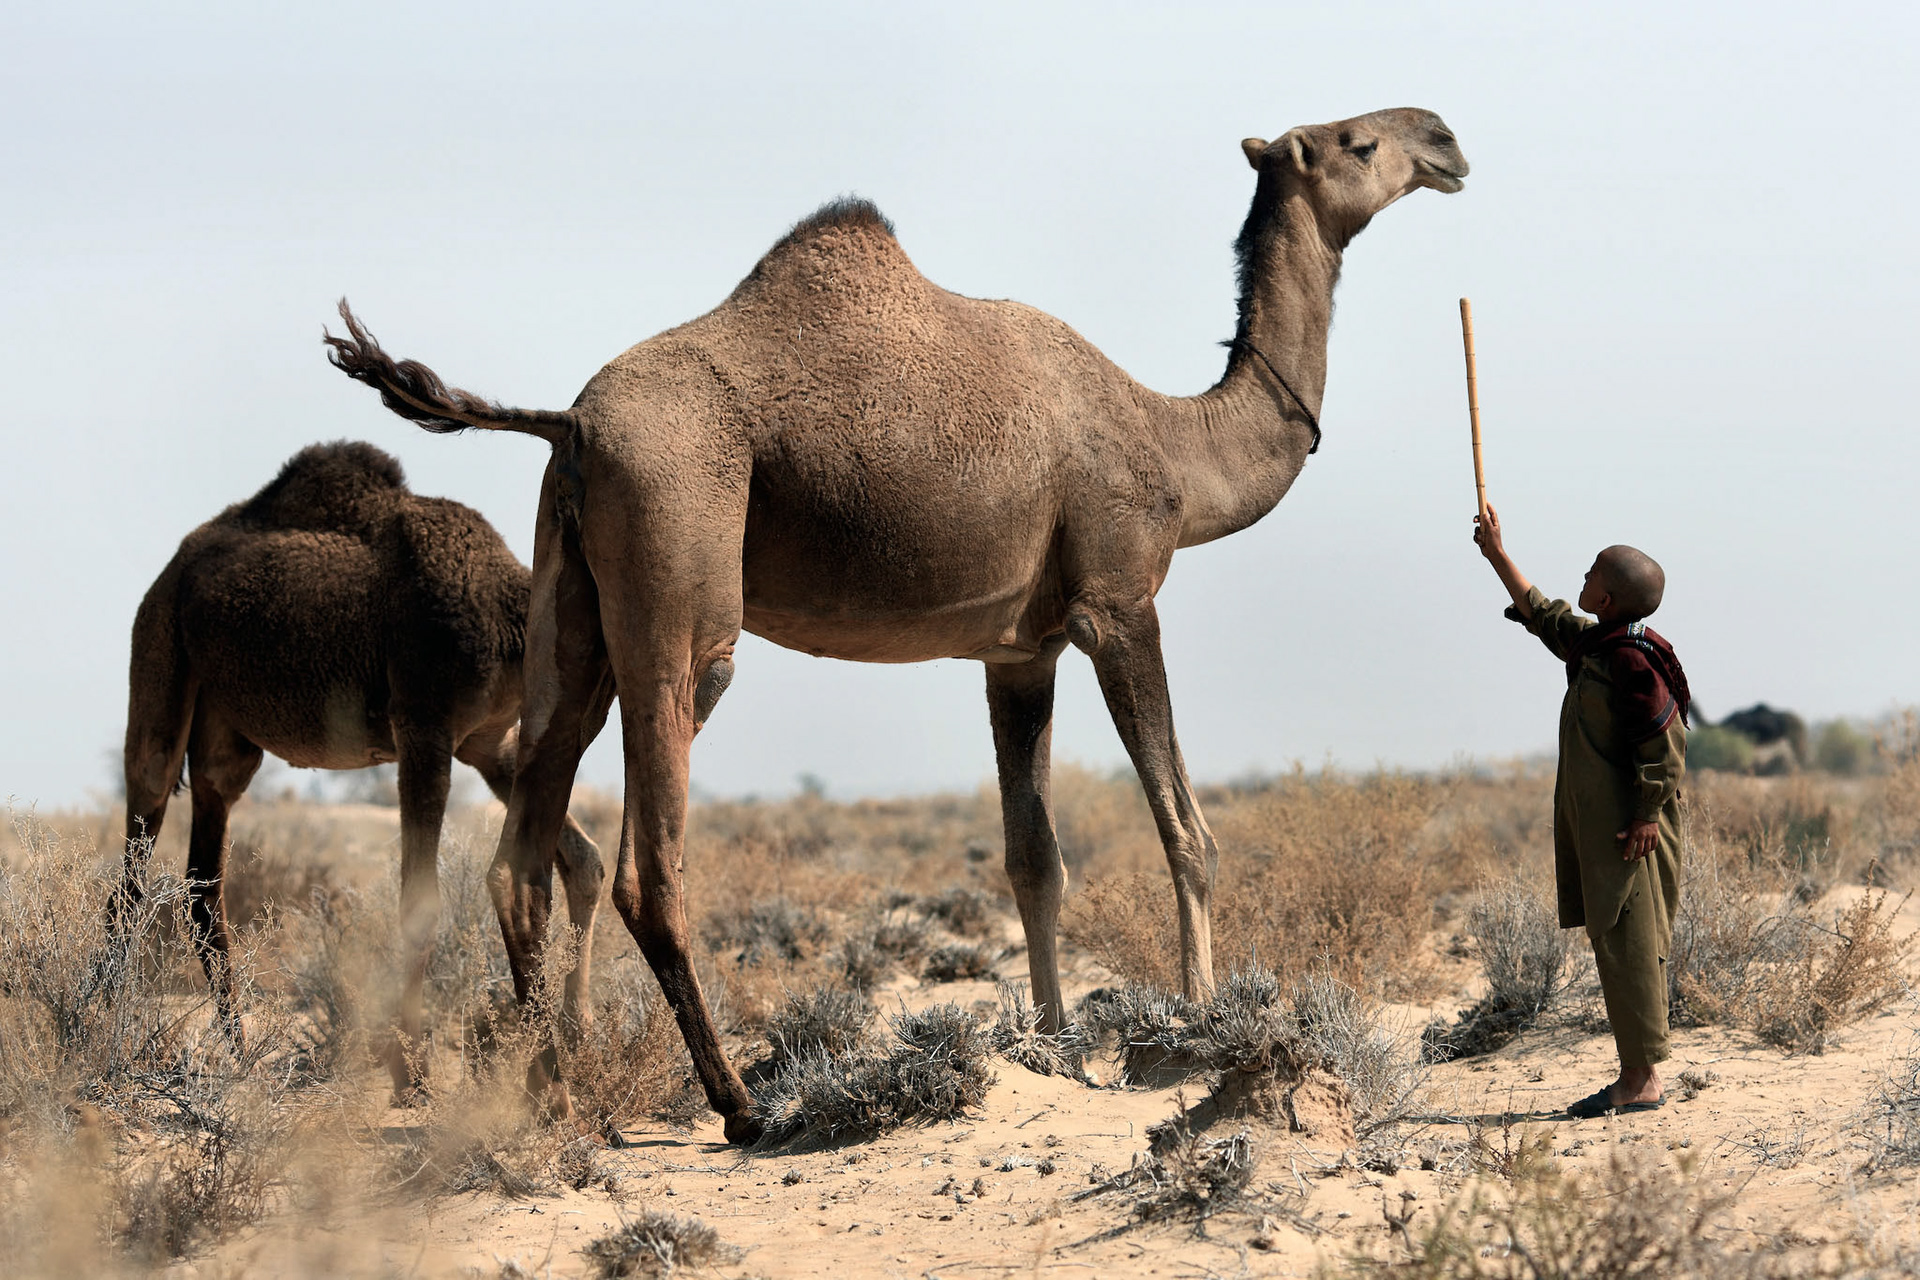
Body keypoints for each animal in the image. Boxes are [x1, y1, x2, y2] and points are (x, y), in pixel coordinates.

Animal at [119, 440, 606, 1098]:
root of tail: (174, 566)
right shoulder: (424, 726)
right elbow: (419, 899)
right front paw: (411, 1074)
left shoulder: (490, 741)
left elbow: (584, 861)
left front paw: (581, 1041)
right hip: (160, 650)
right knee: (138, 839)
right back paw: (100, 1026)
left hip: (225, 732)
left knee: (202, 874)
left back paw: (240, 1052)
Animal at [326, 107, 1468, 1142]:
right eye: (1360, 141)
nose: (1448, 140)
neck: (1177, 447)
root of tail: (568, 421)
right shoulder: (1118, 602)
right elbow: (1188, 831)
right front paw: (1200, 1021)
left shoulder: (1020, 650)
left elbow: (1034, 856)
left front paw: (1055, 1042)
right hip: (679, 569)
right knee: (648, 860)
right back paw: (737, 1104)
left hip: (571, 611)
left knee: (523, 847)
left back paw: (548, 1091)